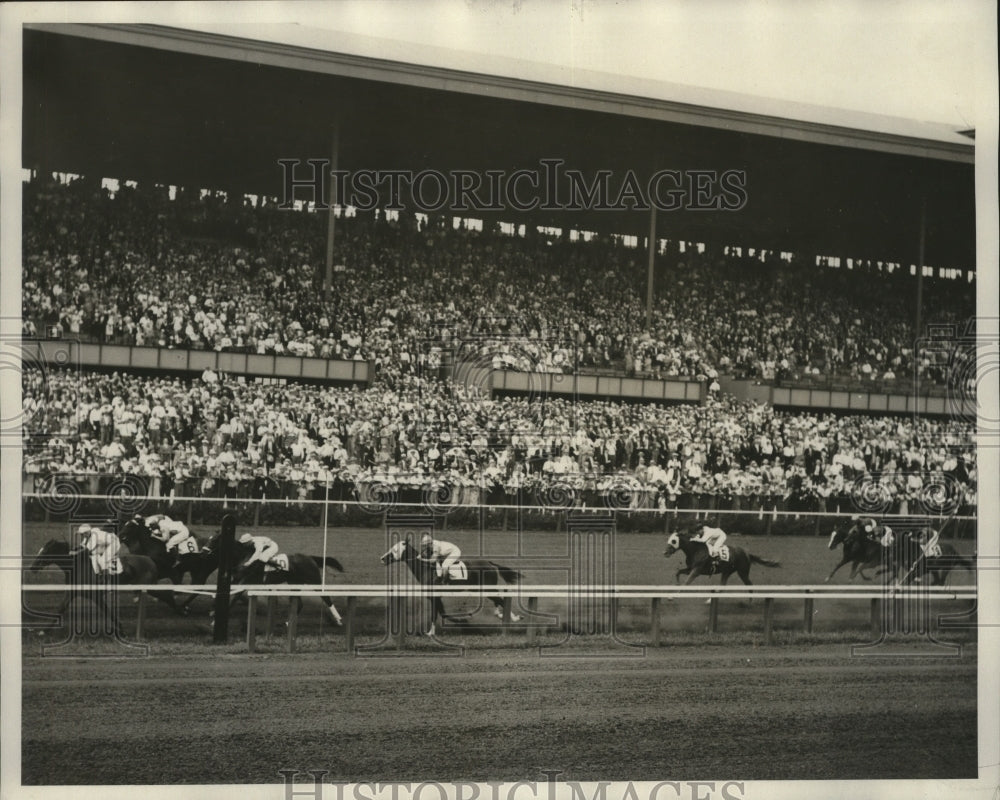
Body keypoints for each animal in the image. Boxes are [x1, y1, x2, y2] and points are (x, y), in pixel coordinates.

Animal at [378, 536, 524, 636]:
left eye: (395, 549)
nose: (382, 558)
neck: (426, 569)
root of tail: (490, 563)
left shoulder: (435, 597)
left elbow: (436, 614)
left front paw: (430, 633)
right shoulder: (436, 598)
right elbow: (443, 614)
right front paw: (464, 624)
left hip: (487, 588)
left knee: (502, 600)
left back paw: (514, 618)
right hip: (481, 589)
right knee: (498, 599)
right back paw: (499, 614)